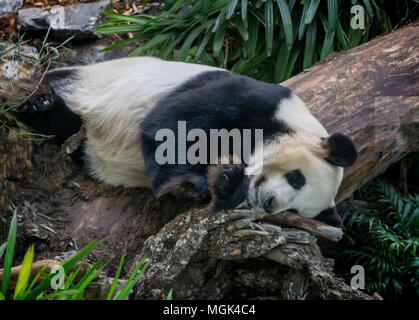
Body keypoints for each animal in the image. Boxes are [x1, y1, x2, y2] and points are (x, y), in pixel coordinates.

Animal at [14, 56, 360, 226]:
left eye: (296, 210)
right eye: (297, 178)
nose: (270, 203)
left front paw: (225, 185)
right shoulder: (255, 100)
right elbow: (172, 121)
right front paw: (190, 184)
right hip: (85, 83)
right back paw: (40, 106)